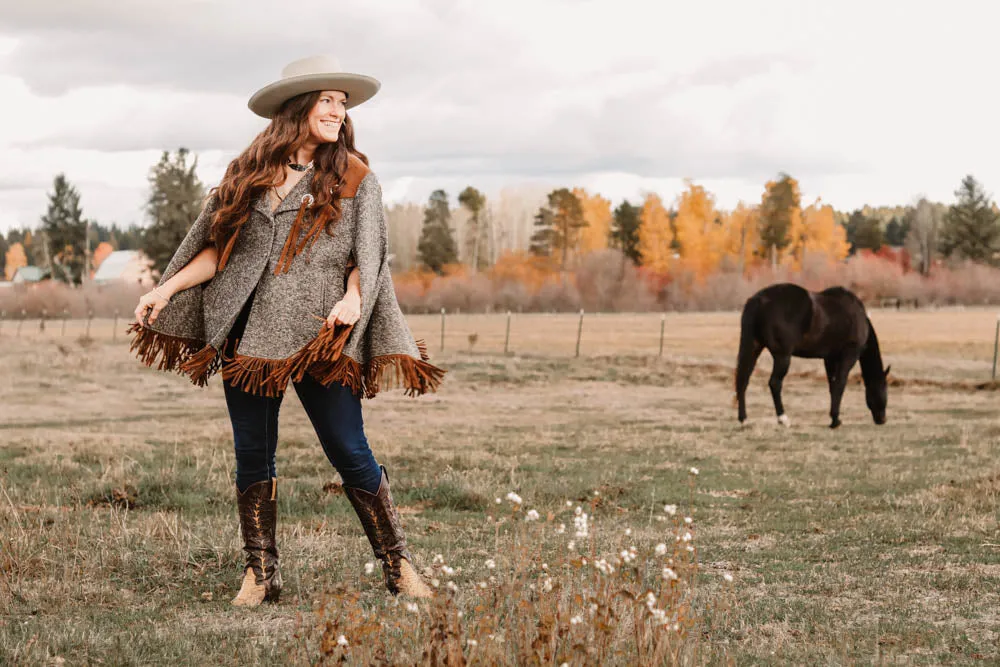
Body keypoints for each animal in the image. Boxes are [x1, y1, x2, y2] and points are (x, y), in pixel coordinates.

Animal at [736, 282, 892, 428]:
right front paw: (836, 420)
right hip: (782, 356)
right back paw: (783, 419)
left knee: (743, 380)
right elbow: (840, 384)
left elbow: (832, 386)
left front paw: (833, 419)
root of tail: (759, 300)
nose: (882, 419)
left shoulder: (830, 359)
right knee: (775, 383)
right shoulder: (849, 356)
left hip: (753, 348)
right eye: (884, 387)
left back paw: (743, 419)